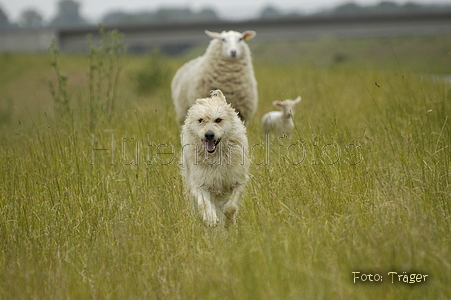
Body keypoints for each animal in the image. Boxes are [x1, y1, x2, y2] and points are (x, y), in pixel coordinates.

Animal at [181, 90, 251, 226]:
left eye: (218, 120)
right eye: (200, 120)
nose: (209, 135)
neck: (216, 156)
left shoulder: (239, 181)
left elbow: (231, 206)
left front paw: (228, 221)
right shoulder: (199, 183)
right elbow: (204, 203)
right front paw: (210, 218)